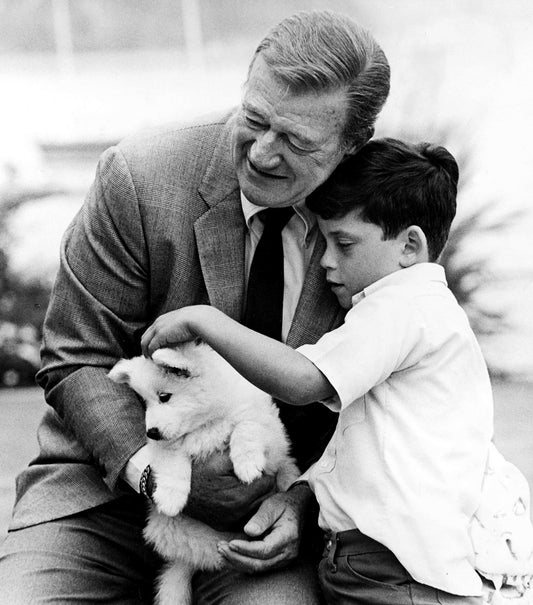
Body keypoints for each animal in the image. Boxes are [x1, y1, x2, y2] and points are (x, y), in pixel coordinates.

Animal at [108, 340, 300, 604]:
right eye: (145, 403)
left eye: (164, 397)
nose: (151, 432)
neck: (204, 424)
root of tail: (197, 558)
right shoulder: (167, 445)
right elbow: (173, 461)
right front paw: (170, 498)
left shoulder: (270, 435)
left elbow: (247, 426)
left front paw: (247, 463)